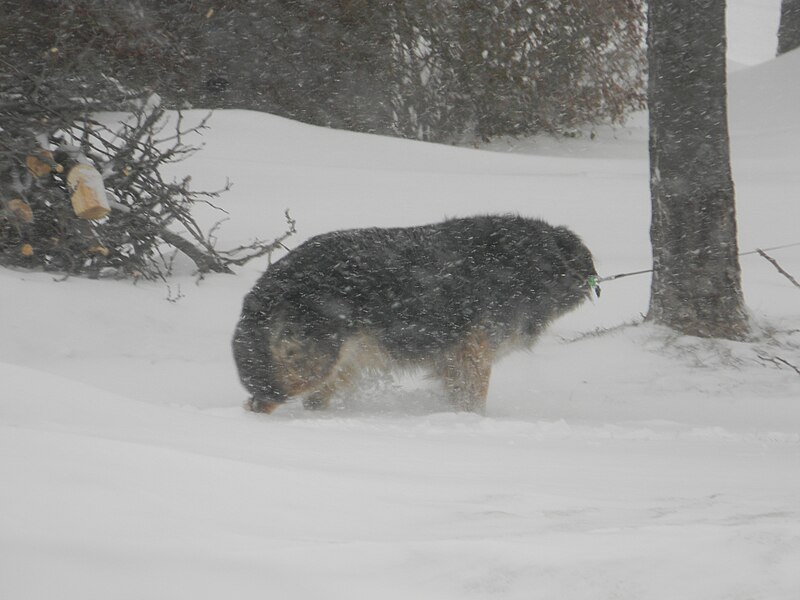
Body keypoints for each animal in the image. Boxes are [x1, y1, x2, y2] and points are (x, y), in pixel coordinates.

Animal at [233, 213, 600, 414]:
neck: (526, 264)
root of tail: (267, 283)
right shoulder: (473, 357)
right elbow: (474, 404)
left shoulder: (454, 363)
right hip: (310, 369)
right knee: (261, 402)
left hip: (337, 369)